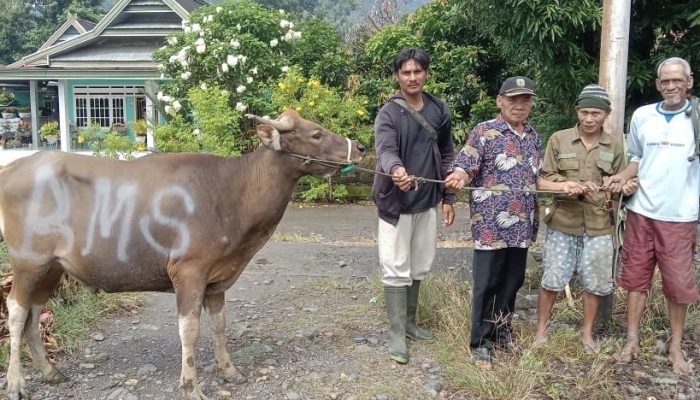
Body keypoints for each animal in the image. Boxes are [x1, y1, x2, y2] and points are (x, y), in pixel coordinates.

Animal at [1, 110, 366, 400]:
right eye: (316, 133)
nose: (361, 147)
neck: (232, 193)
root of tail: (13, 169)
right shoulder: (188, 271)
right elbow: (189, 330)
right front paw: (191, 386)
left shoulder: (217, 280)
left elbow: (219, 324)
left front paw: (229, 370)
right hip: (27, 261)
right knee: (16, 312)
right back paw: (17, 383)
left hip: (52, 267)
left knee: (35, 313)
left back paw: (51, 372)